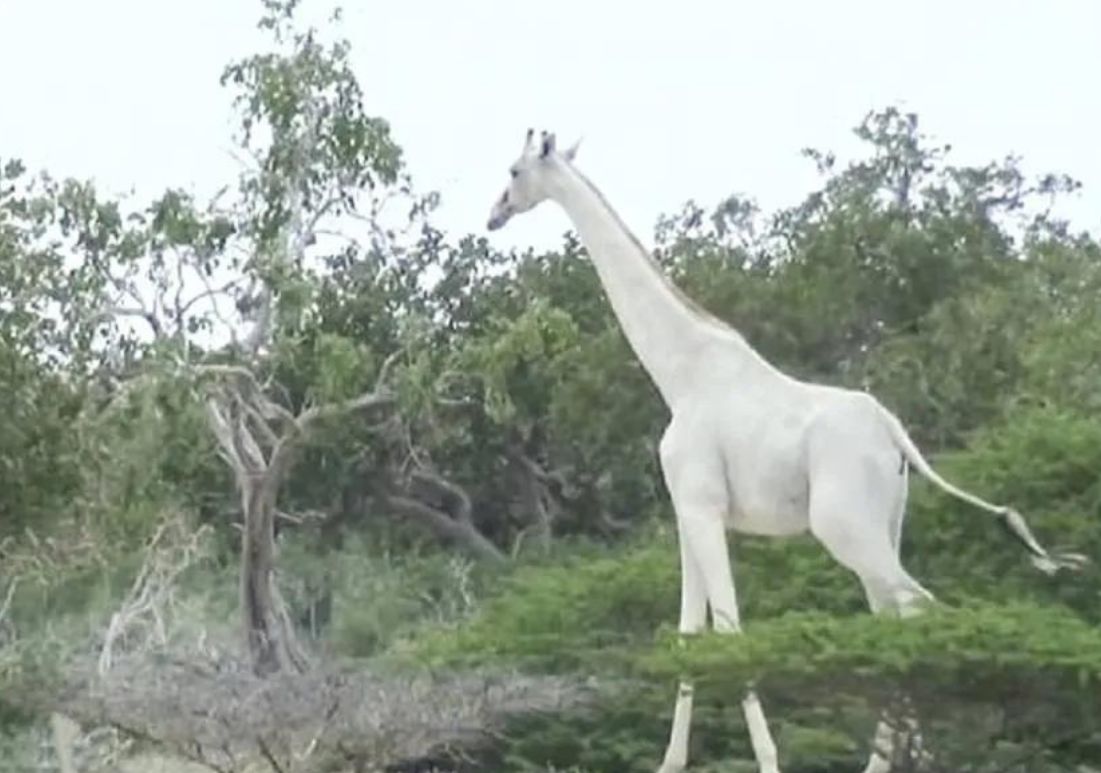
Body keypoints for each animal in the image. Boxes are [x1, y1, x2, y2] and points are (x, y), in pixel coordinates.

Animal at [484, 129, 1083, 770]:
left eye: (515, 170)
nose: (494, 213)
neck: (680, 374)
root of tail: (894, 432)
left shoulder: (701, 506)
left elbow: (730, 632)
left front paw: (768, 760)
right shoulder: (688, 513)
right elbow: (690, 634)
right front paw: (671, 762)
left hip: (843, 527)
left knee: (919, 609)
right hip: (886, 523)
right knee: (893, 620)